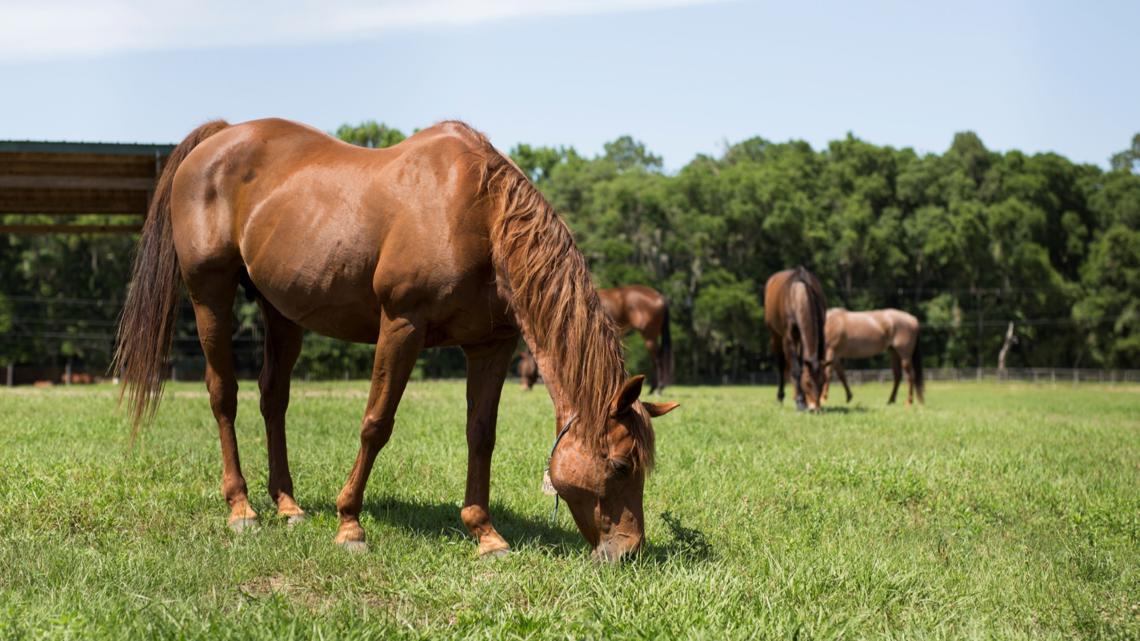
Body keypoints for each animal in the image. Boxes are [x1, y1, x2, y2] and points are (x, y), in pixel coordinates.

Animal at [114, 118, 678, 562]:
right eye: (621, 464)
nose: (630, 552)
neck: (480, 216)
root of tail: (220, 136)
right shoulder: (401, 326)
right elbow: (376, 424)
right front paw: (349, 524)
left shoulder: (491, 346)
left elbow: (481, 435)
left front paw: (485, 533)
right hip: (210, 294)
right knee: (223, 395)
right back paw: (242, 508)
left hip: (281, 311)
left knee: (273, 398)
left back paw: (288, 505)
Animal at [763, 267, 828, 412]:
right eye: (808, 382)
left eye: (823, 381)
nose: (816, 408)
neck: (799, 294)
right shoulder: (789, 338)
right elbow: (796, 369)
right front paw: (800, 402)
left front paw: (803, 401)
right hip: (774, 334)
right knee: (781, 365)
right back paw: (780, 397)